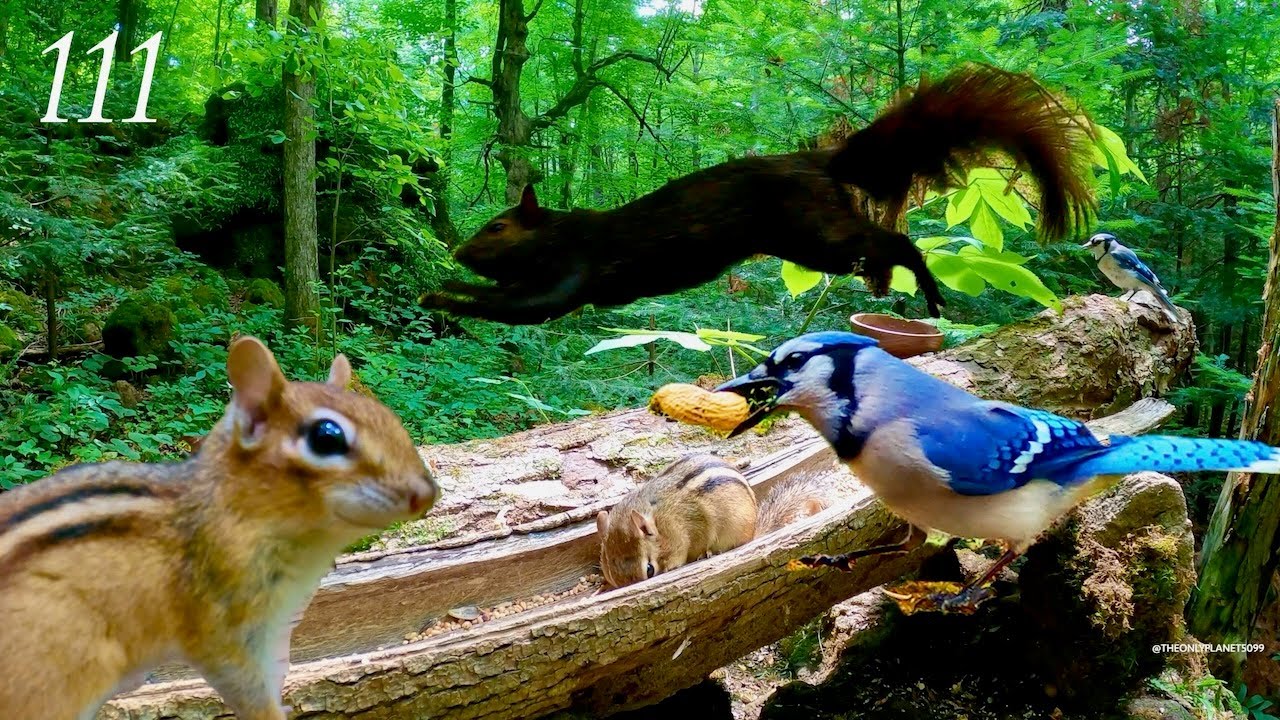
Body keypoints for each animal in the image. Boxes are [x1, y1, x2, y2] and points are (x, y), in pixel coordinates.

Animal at [421, 63, 1095, 325]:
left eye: (498, 227)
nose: (456, 250)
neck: (559, 234)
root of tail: (818, 160)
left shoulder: (572, 269)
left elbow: (524, 304)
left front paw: (440, 293)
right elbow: (508, 296)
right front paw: (447, 284)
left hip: (817, 233)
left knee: (897, 241)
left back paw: (930, 296)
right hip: (812, 243)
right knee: (878, 249)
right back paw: (885, 286)